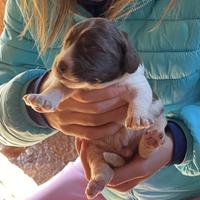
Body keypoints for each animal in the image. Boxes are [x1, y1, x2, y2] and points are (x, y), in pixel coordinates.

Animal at [23, 18, 167, 199]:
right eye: (67, 42)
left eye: (93, 47)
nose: (58, 65)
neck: (99, 85)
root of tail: (122, 152)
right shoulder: (70, 84)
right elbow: (57, 87)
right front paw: (42, 99)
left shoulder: (139, 85)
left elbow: (139, 99)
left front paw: (137, 117)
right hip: (94, 151)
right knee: (103, 169)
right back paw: (96, 183)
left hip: (156, 124)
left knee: (143, 153)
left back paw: (151, 141)